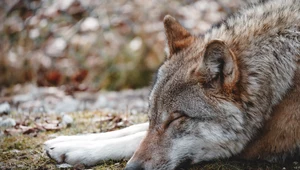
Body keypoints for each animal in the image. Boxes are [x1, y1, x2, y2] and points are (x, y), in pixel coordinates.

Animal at [45, 0, 300, 169]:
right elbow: (134, 129)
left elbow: (133, 138)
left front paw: (80, 149)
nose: (132, 168)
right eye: (152, 114)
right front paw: (68, 143)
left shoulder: (260, 143)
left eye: (177, 118)